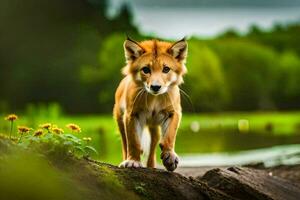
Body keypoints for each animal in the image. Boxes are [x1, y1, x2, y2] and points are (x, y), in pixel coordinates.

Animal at [113, 38, 188, 172]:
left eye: (166, 69)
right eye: (146, 70)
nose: (155, 87)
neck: (154, 99)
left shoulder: (173, 112)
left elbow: (170, 135)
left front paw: (170, 157)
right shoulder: (132, 114)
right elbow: (133, 141)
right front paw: (133, 161)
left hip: (154, 129)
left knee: (152, 149)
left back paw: (152, 166)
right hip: (120, 120)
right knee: (125, 144)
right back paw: (125, 160)